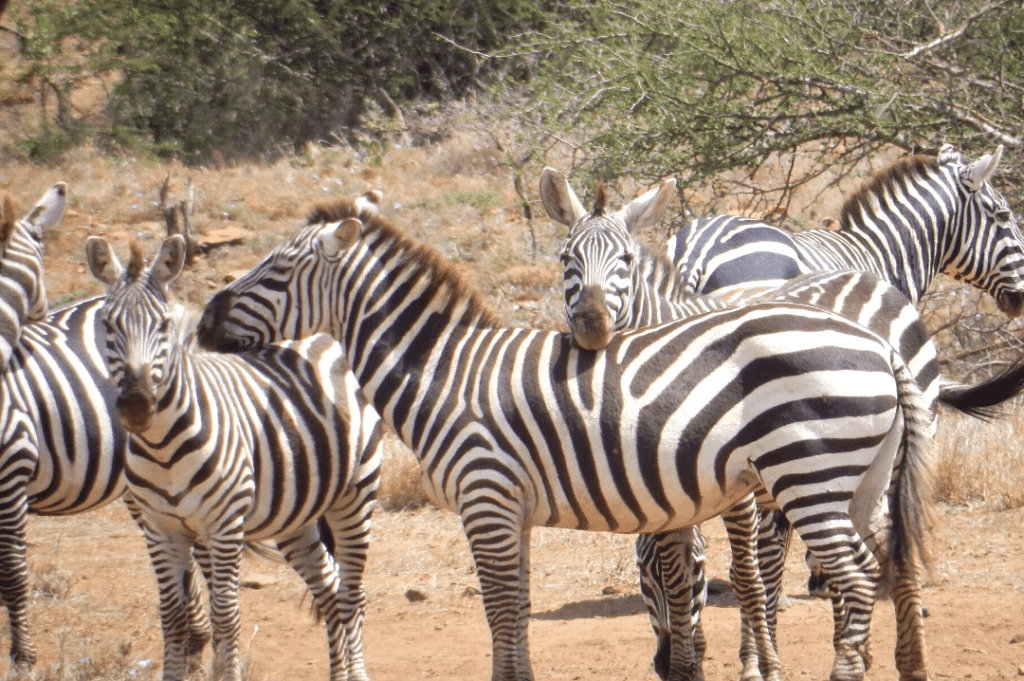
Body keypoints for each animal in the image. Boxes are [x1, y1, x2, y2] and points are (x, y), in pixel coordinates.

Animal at [84, 235, 385, 679]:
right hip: (296, 515)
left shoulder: (224, 526)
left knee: (353, 594)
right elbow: (171, 616)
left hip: (356, 495)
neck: (162, 447)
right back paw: (338, 672)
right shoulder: (160, 528)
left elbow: (226, 614)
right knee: (329, 589)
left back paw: (357, 671)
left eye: (165, 325)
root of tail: (319, 335)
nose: (137, 405)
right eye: (107, 325)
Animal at [193, 193, 942, 679]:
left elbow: (500, 611)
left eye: (276, 271)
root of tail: (879, 344)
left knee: (855, 576)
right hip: (860, 479)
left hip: (807, 472)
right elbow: (518, 611)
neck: (446, 371)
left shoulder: (486, 497)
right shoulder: (511, 510)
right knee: (885, 562)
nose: (201, 319)